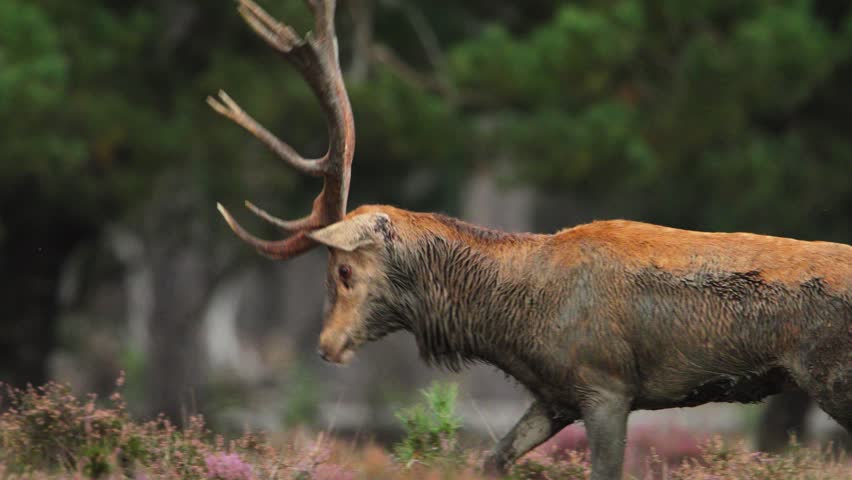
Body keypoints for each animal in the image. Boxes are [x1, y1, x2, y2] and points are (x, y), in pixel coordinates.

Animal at [208, 1, 852, 479]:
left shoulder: (606, 384)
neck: (516, 323)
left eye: (342, 271)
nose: (326, 346)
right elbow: (491, 460)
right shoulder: (554, 395)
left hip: (833, 376)